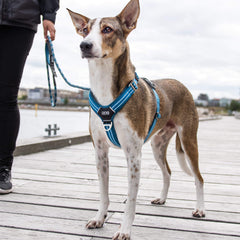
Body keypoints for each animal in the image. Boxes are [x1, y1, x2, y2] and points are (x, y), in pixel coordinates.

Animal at [67, 0, 204, 239]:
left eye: (107, 29)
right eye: (84, 30)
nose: (84, 45)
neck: (104, 89)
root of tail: (180, 83)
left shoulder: (133, 155)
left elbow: (131, 200)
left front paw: (124, 230)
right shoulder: (100, 152)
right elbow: (103, 193)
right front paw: (99, 218)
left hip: (188, 141)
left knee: (199, 177)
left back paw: (200, 209)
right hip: (158, 145)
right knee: (167, 172)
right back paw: (162, 198)